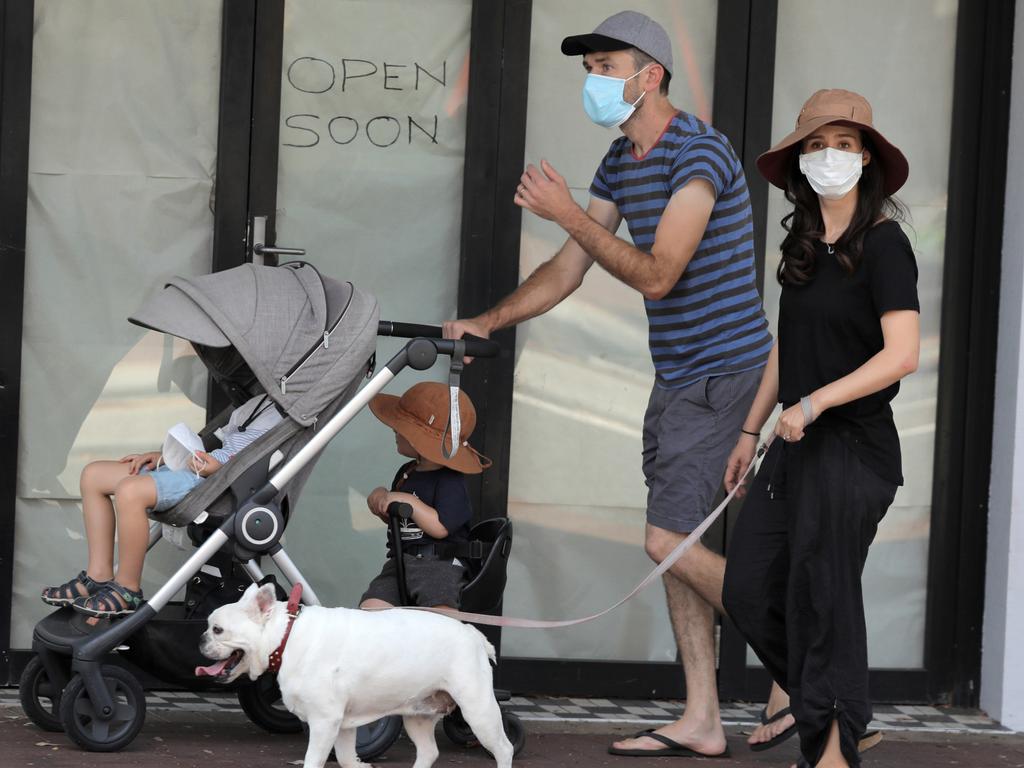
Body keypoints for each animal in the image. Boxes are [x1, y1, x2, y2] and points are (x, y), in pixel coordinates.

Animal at [194, 581, 512, 768]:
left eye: (217, 630)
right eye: (209, 627)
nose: (200, 639)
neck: (285, 634)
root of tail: (472, 633)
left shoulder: (324, 723)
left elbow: (312, 761)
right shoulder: (343, 727)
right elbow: (347, 760)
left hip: (478, 711)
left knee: (503, 749)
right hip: (418, 716)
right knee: (428, 752)